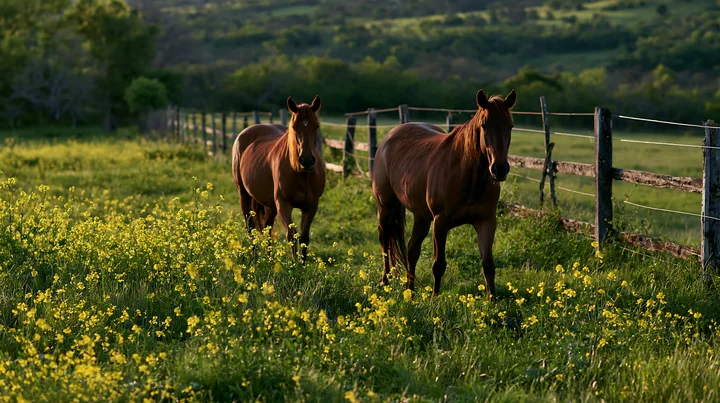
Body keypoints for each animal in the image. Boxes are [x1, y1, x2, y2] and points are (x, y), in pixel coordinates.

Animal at [231, 95, 326, 261]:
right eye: (294, 127)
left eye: (316, 126)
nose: (307, 160)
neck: (301, 173)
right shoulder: (283, 204)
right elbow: (292, 235)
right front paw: (295, 265)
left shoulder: (311, 205)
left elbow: (304, 237)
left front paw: (303, 264)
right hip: (244, 195)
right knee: (251, 227)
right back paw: (255, 259)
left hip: (270, 205)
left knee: (267, 229)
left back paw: (269, 260)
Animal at [371, 89, 517, 301]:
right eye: (484, 124)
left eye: (510, 125)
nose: (499, 169)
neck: (468, 176)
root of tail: (389, 136)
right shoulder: (440, 222)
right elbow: (439, 264)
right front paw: (435, 299)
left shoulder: (486, 221)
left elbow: (488, 264)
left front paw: (493, 302)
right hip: (386, 208)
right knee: (384, 244)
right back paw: (385, 282)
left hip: (421, 216)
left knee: (412, 250)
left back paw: (410, 293)